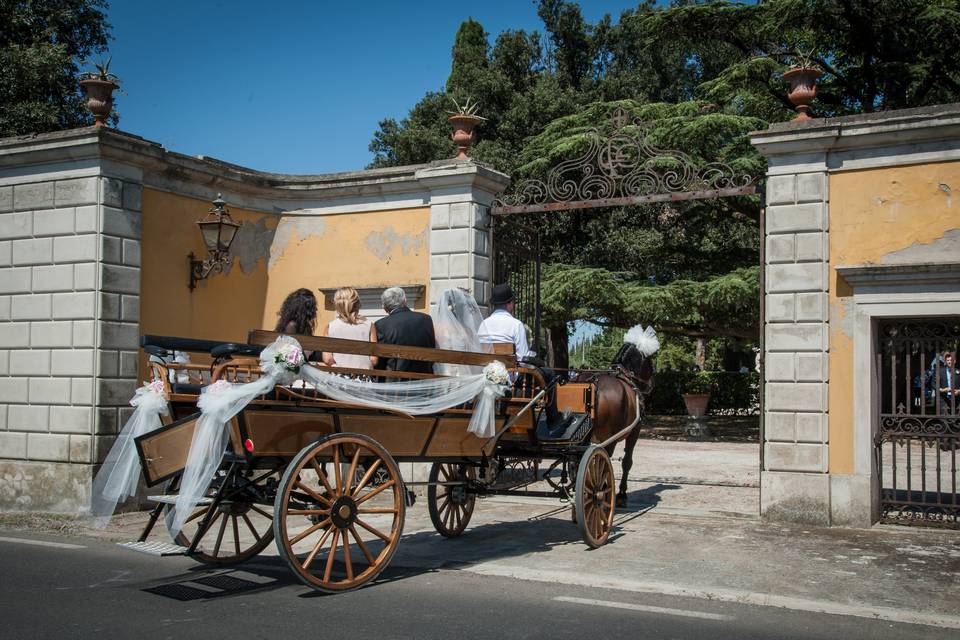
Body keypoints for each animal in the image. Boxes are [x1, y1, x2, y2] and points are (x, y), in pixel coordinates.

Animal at [576, 342, 652, 508]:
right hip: (607, 438)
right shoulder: (635, 431)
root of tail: (593, 384)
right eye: (650, 362)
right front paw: (622, 494)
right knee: (602, 463)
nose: (650, 386)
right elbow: (627, 462)